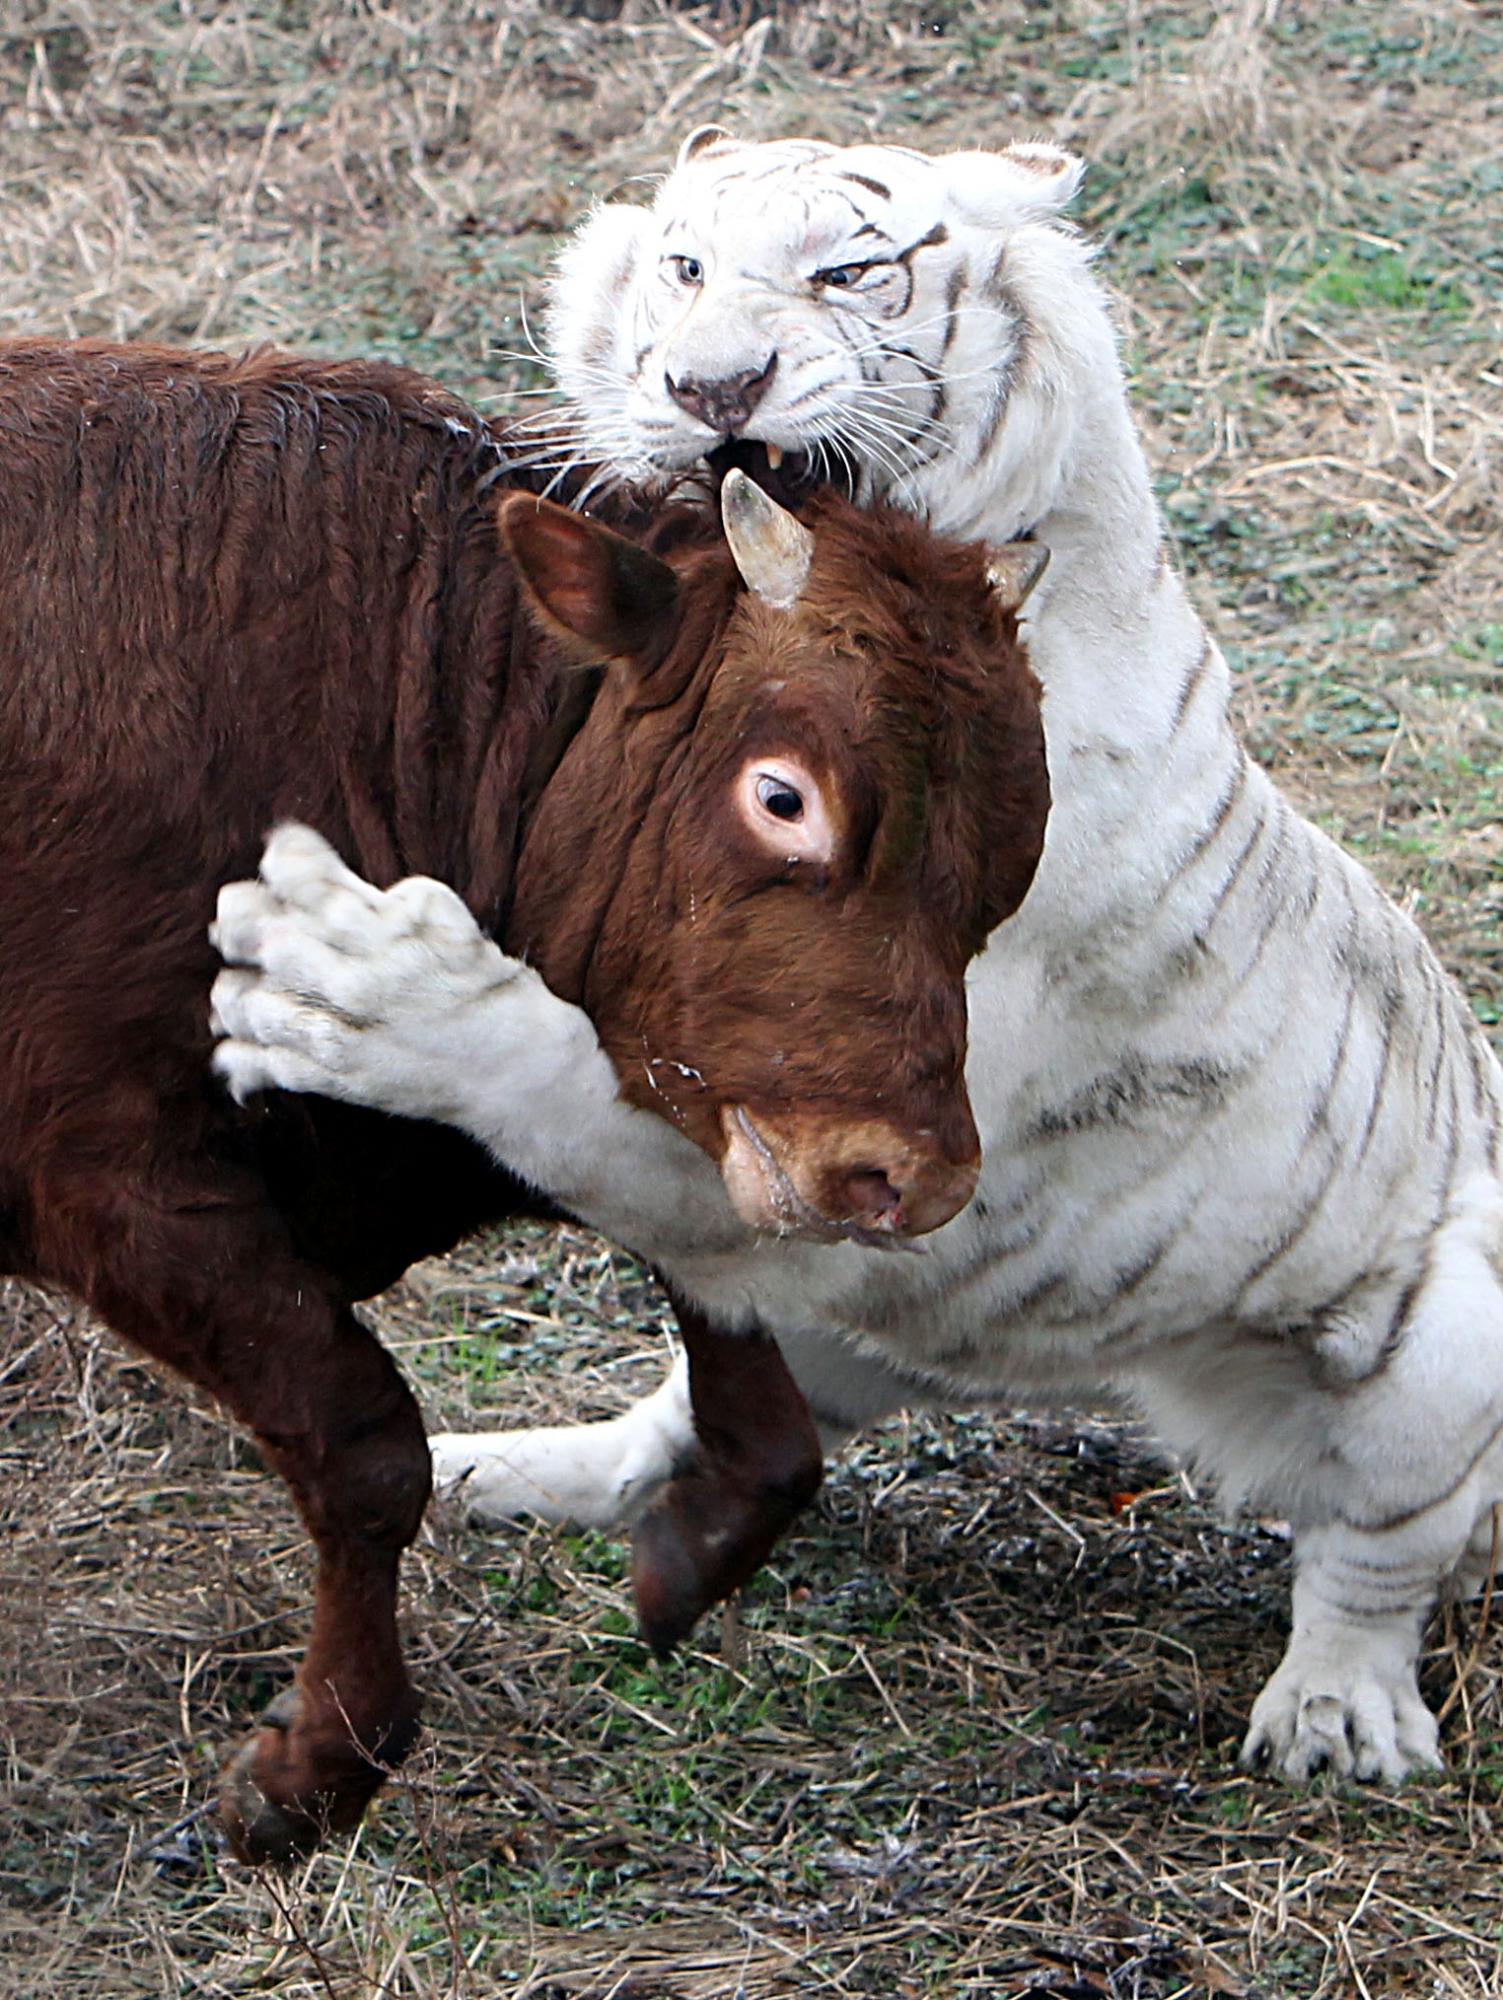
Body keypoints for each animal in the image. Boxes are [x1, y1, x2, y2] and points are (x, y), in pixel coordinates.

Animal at [0, 340, 1050, 1859]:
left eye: (1014, 848)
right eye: (782, 798)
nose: (908, 1177)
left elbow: (757, 1385)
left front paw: (683, 1553)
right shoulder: (103, 1172)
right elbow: (370, 1446)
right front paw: (312, 1770)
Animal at [211, 131, 1503, 1787]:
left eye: (846, 272)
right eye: (683, 268)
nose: (713, 386)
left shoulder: (863, 1119)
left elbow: (553, 1063)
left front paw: (350, 976)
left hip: (1451, 1329)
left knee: (1375, 1544)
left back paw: (1338, 1712)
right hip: (851, 1330)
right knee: (685, 1424)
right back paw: (501, 1470)